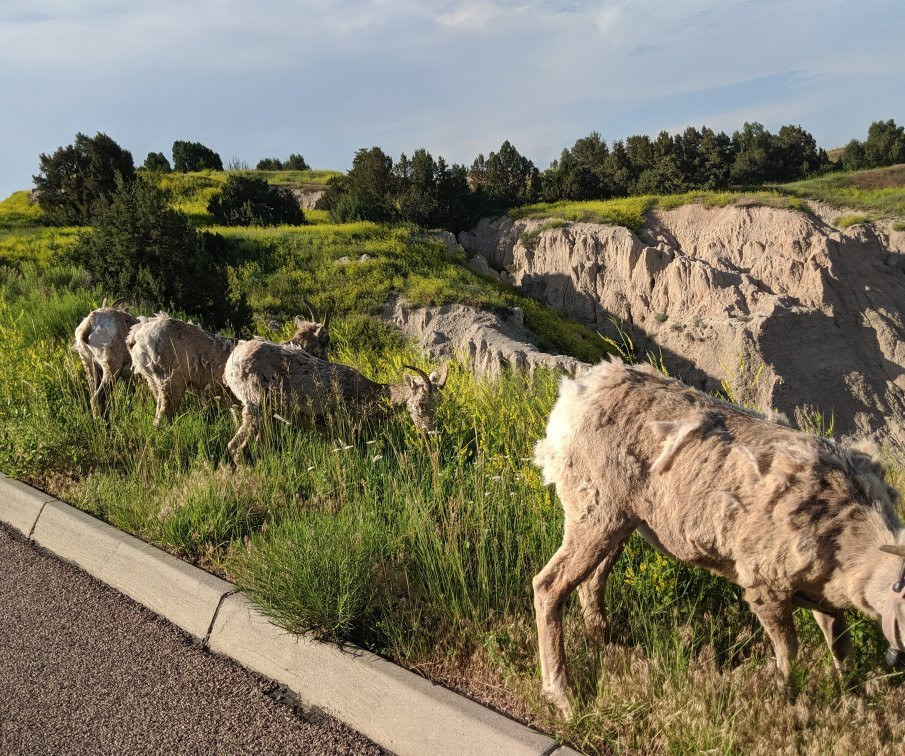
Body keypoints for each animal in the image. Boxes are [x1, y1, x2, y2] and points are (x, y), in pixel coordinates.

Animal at [221, 340, 444, 464]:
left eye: (437, 404)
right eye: (421, 403)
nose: (430, 433)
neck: (367, 394)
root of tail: (231, 362)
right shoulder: (345, 431)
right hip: (254, 408)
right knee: (234, 447)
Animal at [528, 358, 904, 716]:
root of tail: (574, 396)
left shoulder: (821, 597)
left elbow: (842, 649)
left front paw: (854, 700)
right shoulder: (766, 587)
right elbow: (789, 652)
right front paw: (788, 697)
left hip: (621, 521)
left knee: (591, 583)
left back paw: (607, 643)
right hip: (595, 512)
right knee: (549, 586)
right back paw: (564, 697)